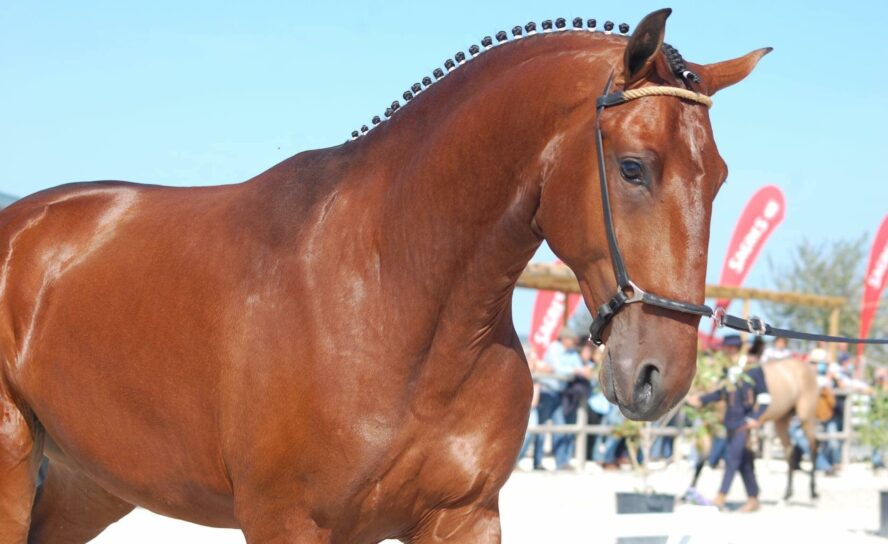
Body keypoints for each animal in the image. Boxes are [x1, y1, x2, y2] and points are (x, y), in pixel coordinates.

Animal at [0, 9, 769, 543]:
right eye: (634, 167)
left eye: (721, 178)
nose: (659, 375)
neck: (387, 295)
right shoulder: (286, 521)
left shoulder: (463, 517)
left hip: (91, 483)